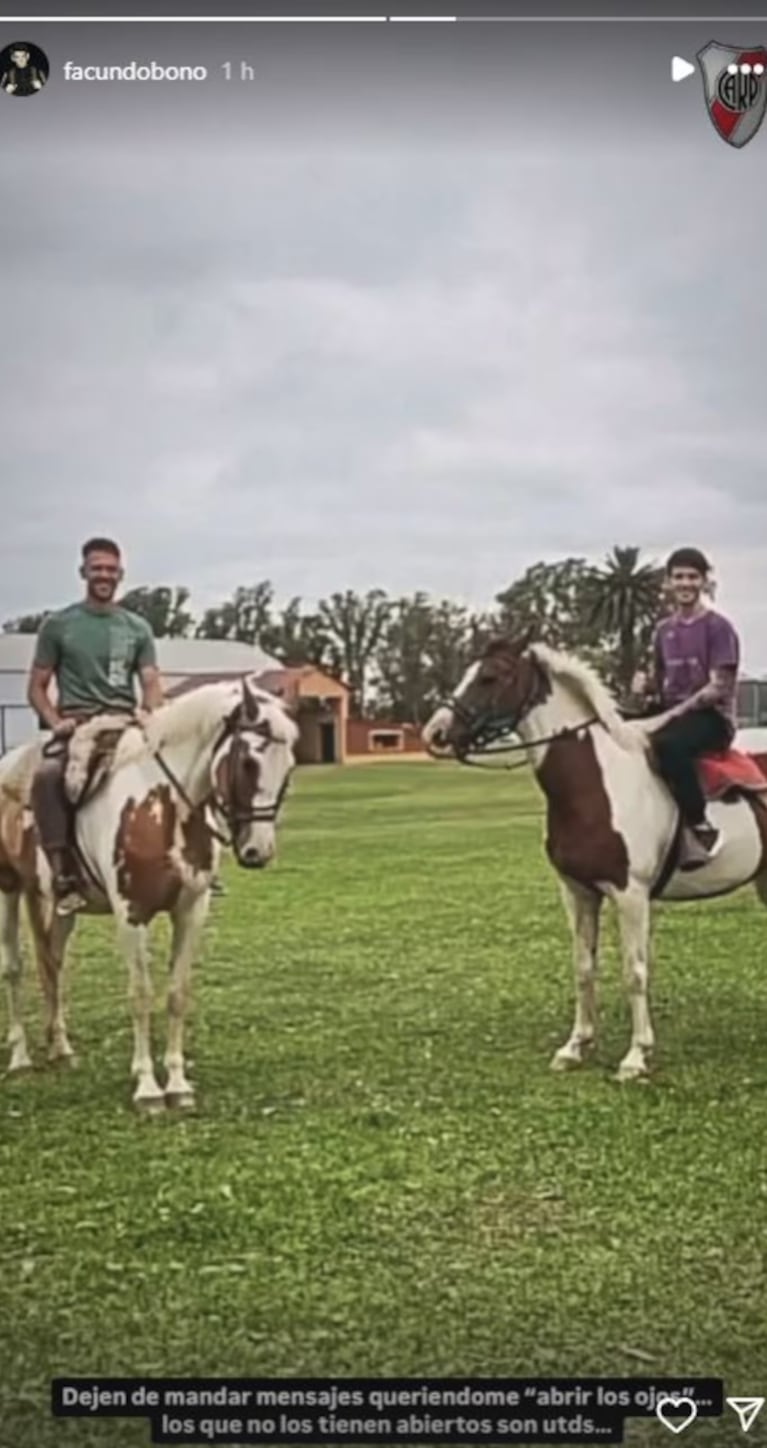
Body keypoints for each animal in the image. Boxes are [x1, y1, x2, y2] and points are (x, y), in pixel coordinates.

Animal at [0, 674, 295, 1106]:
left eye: (288, 765)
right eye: (248, 762)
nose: (258, 851)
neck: (163, 806)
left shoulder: (191, 911)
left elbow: (176, 994)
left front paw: (178, 1083)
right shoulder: (131, 914)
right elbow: (140, 996)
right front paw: (147, 1088)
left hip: (61, 907)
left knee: (52, 965)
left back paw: (61, 1048)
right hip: (8, 888)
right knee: (14, 968)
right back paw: (20, 1056)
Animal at [419, 640, 764, 1083]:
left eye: (489, 677)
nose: (436, 732)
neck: (594, 787)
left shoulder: (630, 895)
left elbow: (634, 972)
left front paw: (635, 1056)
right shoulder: (577, 892)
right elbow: (583, 967)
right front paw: (575, 1046)